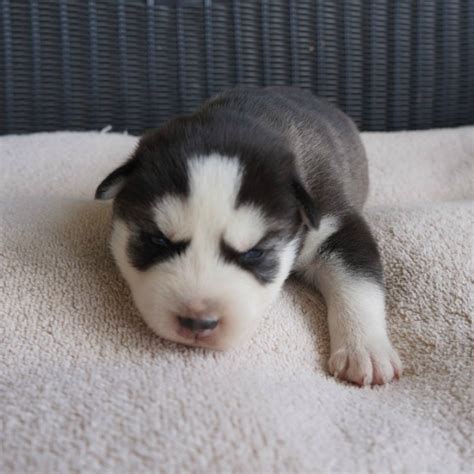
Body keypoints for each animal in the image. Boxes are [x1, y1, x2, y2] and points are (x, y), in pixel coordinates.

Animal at [97, 88, 404, 386]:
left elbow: (358, 282)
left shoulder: (337, 225)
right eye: (158, 241)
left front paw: (364, 350)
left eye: (254, 253)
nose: (198, 323)